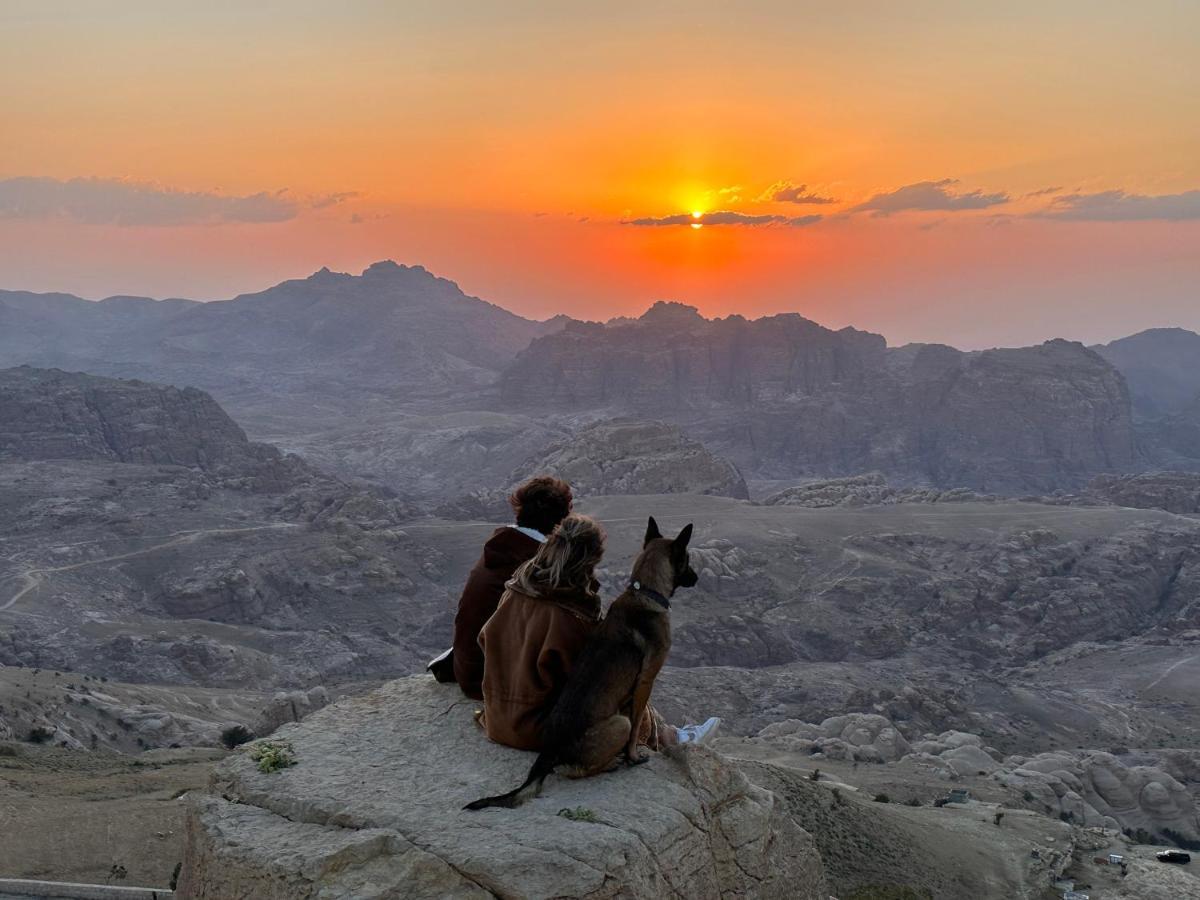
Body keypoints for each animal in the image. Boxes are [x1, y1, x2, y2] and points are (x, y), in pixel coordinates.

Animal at [463, 518, 700, 816]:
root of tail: (550, 750)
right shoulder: (646, 680)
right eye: (687, 560)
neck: (644, 591)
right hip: (618, 723)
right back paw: (610, 763)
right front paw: (633, 756)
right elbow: (637, 725)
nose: (697, 578)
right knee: (579, 769)